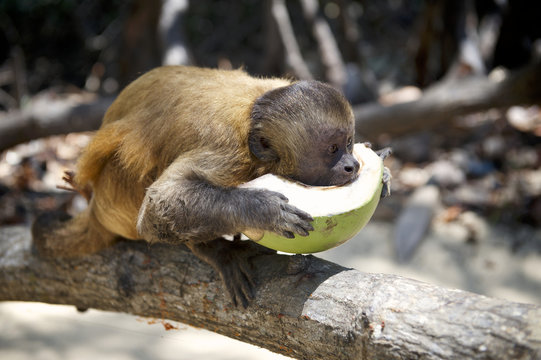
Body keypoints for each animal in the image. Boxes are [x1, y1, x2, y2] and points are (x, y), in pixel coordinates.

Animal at [33, 64, 362, 306]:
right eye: (332, 150)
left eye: (349, 143)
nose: (353, 165)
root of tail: (95, 207)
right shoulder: (230, 151)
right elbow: (159, 204)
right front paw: (264, 211)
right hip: (116, 199)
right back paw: (215, 251)